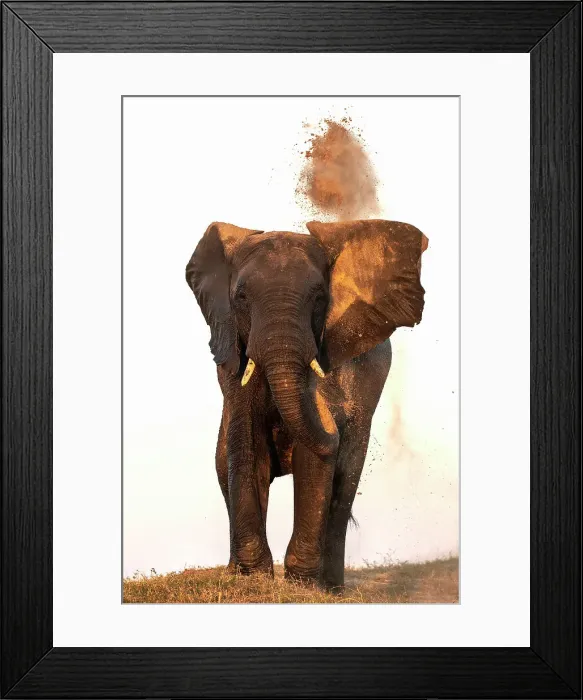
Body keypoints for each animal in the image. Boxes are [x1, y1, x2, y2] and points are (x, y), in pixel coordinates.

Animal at [185, 219, 427, 589]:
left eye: (320, 298)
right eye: (241, 297)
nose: (340, 413)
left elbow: (313, 456)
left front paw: (300, 584)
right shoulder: (233, 358)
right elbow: (247, 442)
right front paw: (253, 579)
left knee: (345, 483)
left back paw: (332, 589)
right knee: (223, 461)